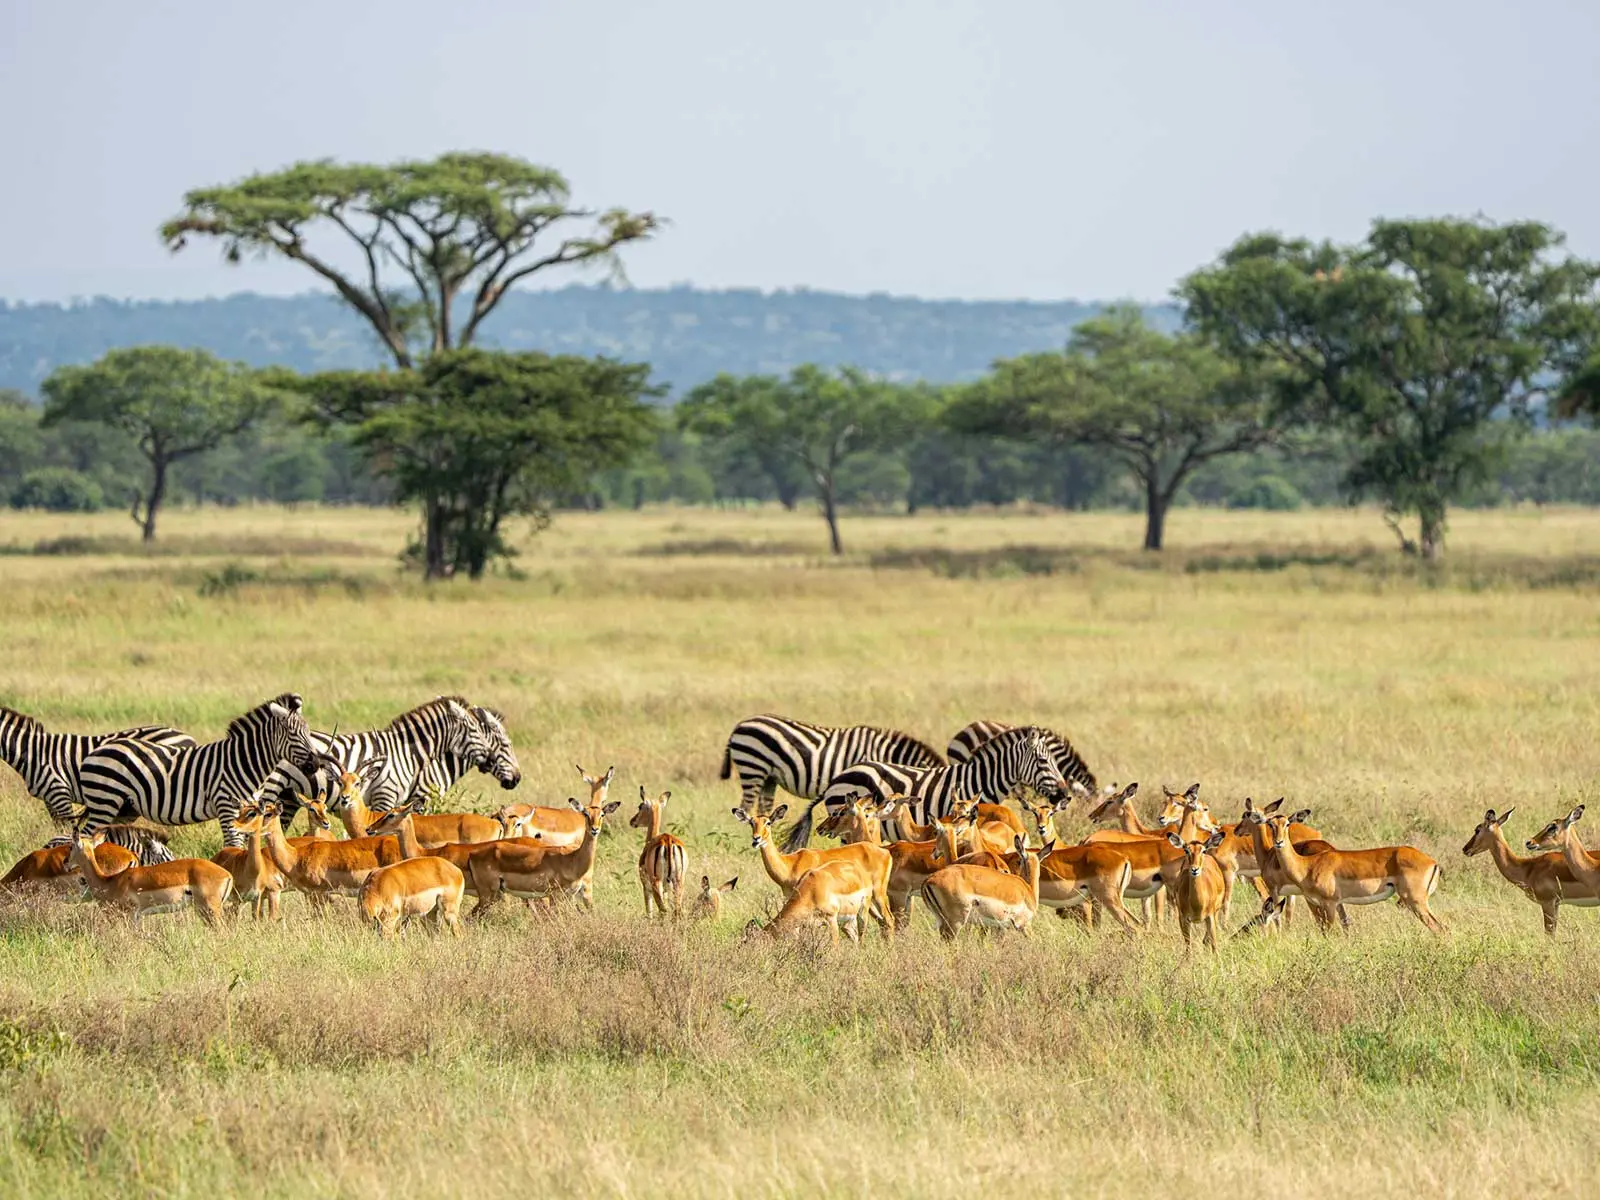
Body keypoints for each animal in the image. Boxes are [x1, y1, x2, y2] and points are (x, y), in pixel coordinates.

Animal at [75, 693, 327, 848]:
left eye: (309, 732)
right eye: (293, 735)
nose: (316, 764)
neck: (243, 762)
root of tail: (96, 751)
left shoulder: (247, 810)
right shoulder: (226, 806)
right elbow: (233, 845)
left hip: (123, 808)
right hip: (105, 802)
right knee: (85, 837)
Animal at [720, 714, 944, 815]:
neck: (884, 751)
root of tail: (739, 726)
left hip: (769, 777)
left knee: (764, 807)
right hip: (752, 767)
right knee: (746, 806)